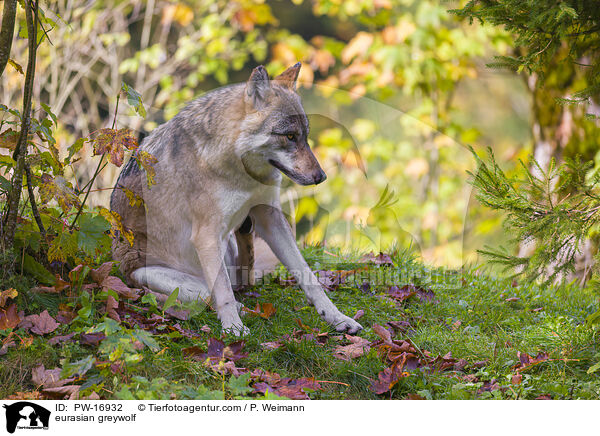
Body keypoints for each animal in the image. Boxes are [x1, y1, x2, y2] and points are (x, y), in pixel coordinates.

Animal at [110, 63, 364, 336]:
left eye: (304, 136)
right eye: (289, 136)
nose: (321, 177)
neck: (242, 172)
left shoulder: (270, 217)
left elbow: (308, 275)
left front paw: (337, 317)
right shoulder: (206, 236)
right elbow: (223, 293)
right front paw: (234, 329)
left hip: (229, 244)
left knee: (243, 278)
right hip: (166, 279)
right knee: (216, 293)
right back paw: (240, 310)